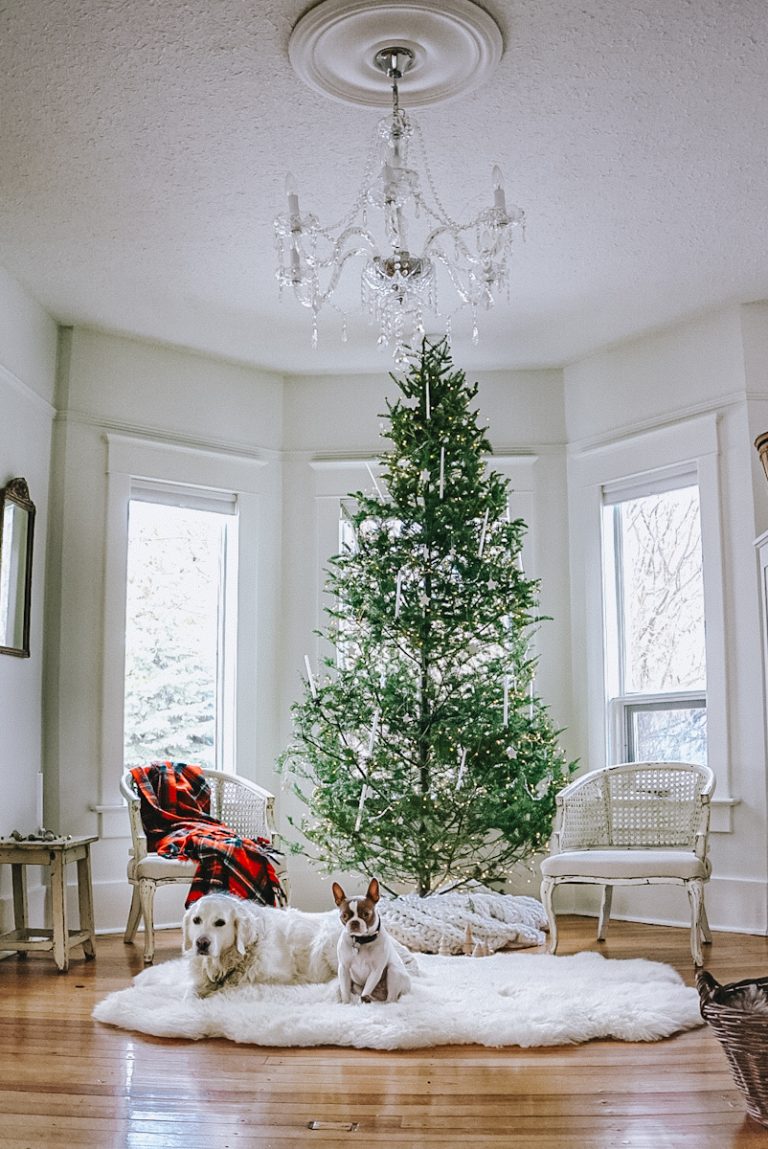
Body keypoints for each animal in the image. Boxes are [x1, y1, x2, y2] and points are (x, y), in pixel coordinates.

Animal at [182, 887, 338, 997]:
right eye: (196, 920)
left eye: (220, 922)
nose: (201, 943)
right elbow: (190, 993)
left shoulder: (276, 978)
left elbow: (226, 990)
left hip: (327, 940)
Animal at [331, 877, 411, 1006]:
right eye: (344, 916)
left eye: (366, 914)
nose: (354, 922)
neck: (361, 941)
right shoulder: (343, 968)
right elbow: (345, 991)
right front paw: (346, 1004)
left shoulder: (375, 971)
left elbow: (367, 988)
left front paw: (359, 1005)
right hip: (358, 985)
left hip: (394, 972)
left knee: (391, 999)